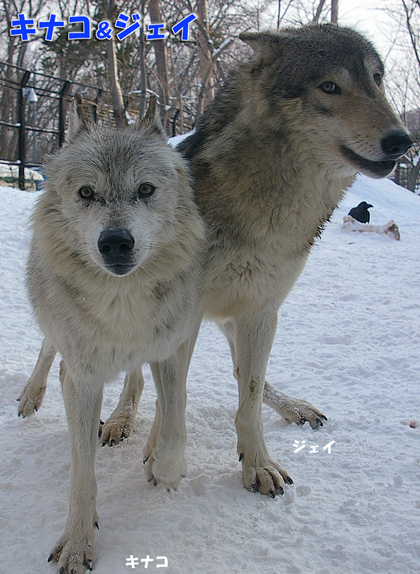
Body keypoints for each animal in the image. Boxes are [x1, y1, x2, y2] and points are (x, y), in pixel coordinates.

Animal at [24, 97, 205, 572]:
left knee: (134, 377)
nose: (116, 242)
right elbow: (82, 473)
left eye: (145, 189)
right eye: (87, 193)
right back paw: (31, 395)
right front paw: (77, 542)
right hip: (52, 321)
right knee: (48, 349)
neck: (122, 306)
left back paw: (122, 420)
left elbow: (174, 423)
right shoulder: (82, 379)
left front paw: (165, 470)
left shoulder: (170, 351)